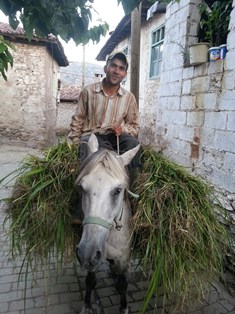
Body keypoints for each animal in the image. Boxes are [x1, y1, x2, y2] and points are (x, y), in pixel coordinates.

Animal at [76, 134, 140, 314]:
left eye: (118, 190)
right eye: (81, 187)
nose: (87, 252)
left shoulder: (124, 258)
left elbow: (123, 285)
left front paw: (123, 308)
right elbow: (90, 282)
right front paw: (86, 306)